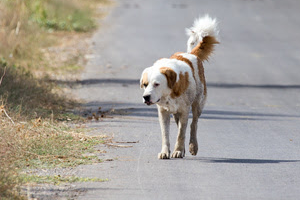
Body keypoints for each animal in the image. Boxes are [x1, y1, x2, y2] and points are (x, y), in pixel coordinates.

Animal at [139, 14, 219, 159]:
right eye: (145, 85)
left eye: (156, 84)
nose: (146, 97)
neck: (170, 93)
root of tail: (192, 54)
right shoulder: (163, 112)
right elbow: (165, 135)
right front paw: (165, 152)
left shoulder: (184, 110)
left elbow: (181, 133)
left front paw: (178, 150)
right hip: (177, 113)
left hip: (198, 104)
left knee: (193, 125)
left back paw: (193, 146)